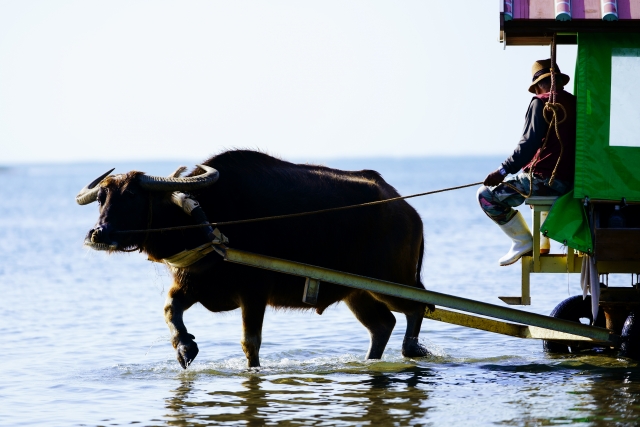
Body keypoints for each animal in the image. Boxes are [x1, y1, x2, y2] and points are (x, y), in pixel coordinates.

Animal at [77, 150, 432, 368]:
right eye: (102, 198)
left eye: (132, 196)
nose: (98, 233)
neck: (207, 221)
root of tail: (408, 211)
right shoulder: (192, 285)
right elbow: (169, 310)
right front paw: (185, 348)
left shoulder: (254, 293)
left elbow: (251, 342)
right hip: (356, 292)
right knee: (382, 324)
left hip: (392, 281)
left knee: (419, 305)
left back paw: (412, 349)